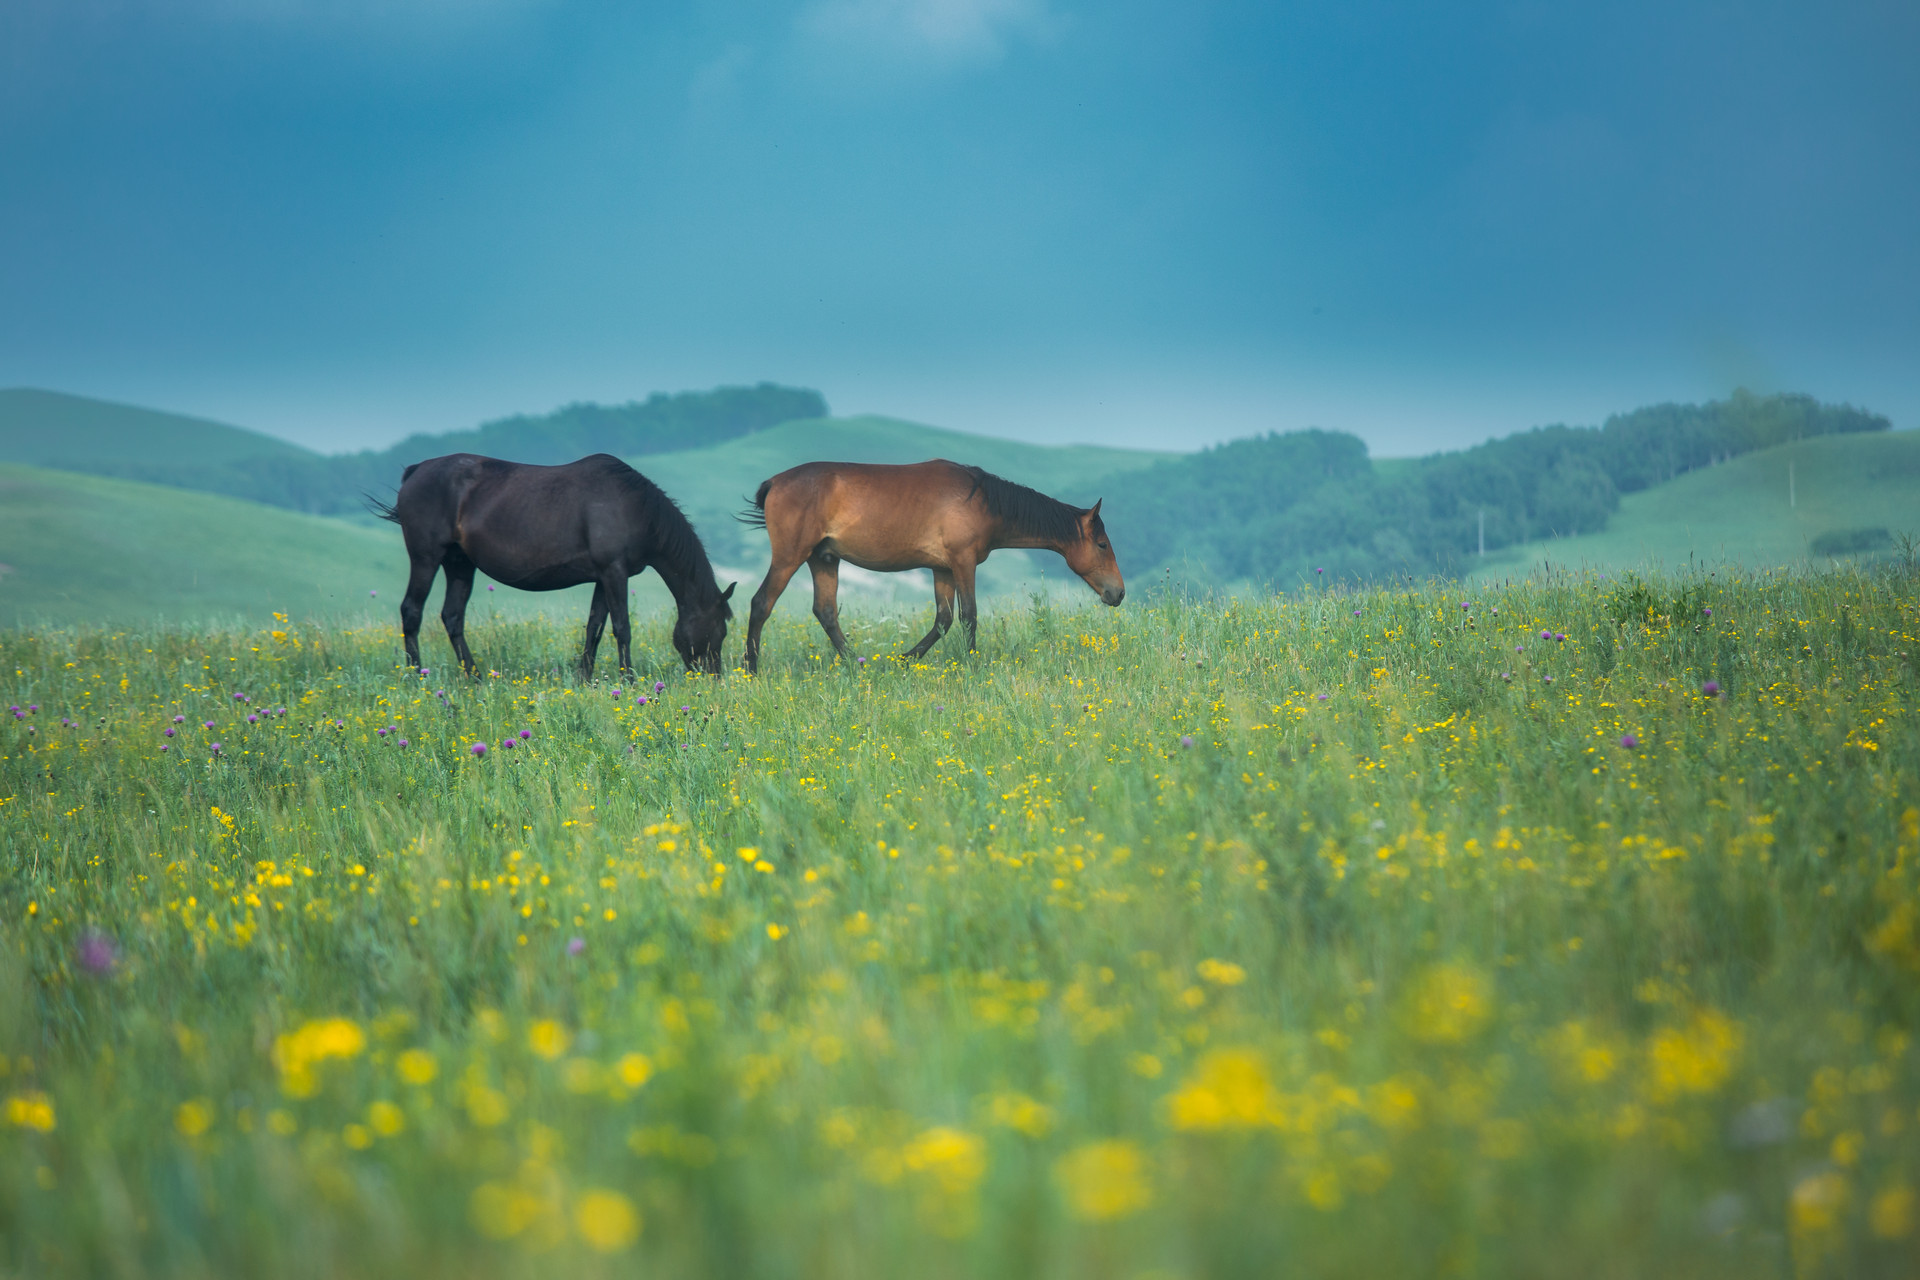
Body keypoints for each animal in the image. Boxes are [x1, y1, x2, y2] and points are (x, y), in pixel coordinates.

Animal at [374, 454, 733, 687]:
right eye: (721, 631)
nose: (713, 678)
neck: (636, 507)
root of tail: (416, 471)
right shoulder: (613, 572)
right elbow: (622, 628)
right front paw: (629, 679)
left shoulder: (603, 577)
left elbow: (595, 627)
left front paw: (584, 678)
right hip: (426, 558)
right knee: (412, 611)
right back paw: (415, 677)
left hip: (459, 564)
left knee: (452, 617)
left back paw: (475, 678)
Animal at [737, 462, 1121, 679]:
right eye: (1103, 544)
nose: (1118, 592)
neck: (982, 500)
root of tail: (775, 482)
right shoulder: (963, 562)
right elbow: (968, 616)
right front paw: (972, 665)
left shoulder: (942, 569)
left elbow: (943, 620)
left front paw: (903, 661)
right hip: (790, 556)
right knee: (761, 604)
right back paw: (752, 670)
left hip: (824, 559)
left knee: (826, 611)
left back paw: (856, 665)